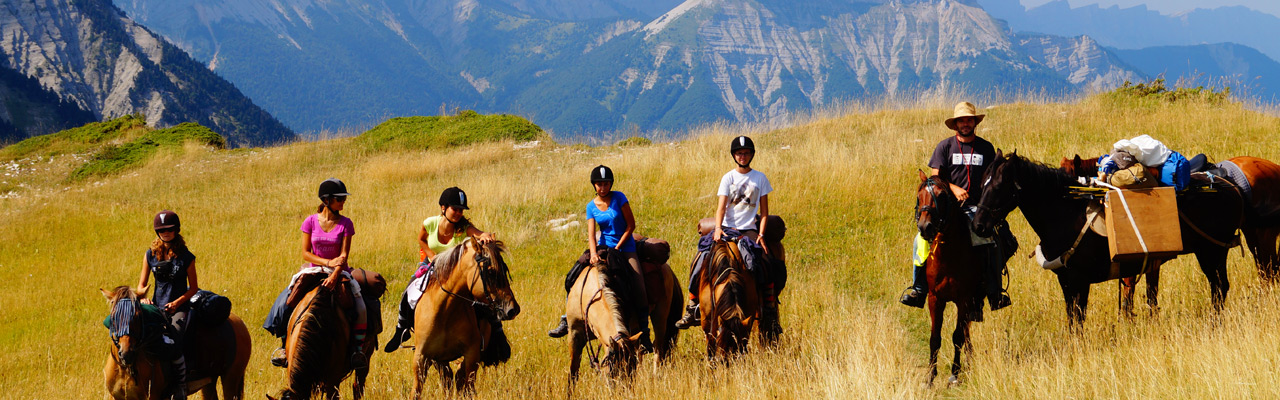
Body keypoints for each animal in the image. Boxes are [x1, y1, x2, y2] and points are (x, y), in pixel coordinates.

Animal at [101, 285, 250, 397]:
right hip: (210, 381)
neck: (125, 368)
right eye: (113, 317)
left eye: (138, 316)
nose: (127, 353)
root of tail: (239, 323)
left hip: (231, 378)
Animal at [412, 238, 517, 397]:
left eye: (505, 270)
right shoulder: (422, 357)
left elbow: (465, 382)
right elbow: (416, 391)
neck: (444, 311)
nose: (513, 309)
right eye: (490, 271)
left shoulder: (472, 354)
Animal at [568, 248, 686, 382]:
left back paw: (656, 375)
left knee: (658, 346)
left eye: (631, 369)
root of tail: (667, 268)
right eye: (612, 371)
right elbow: (573, 371)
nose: (624, 387)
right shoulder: (574, 332)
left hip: (660, 315)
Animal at [911, 170, 977, 384]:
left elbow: (957, 336)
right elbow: (935, 337)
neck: (949, 254)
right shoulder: (935, 298)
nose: (925, 226)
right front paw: (930, 377)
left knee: (965, 330)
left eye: (941, 196)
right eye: (919, 195)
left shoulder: (964, 299)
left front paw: (955, 374)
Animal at [972, 151, 1244, 326]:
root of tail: (1228, 184)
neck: (1065, 217)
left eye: (999, 186)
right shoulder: (1066, 281)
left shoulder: (1081, 281)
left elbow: (1080, 320)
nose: (979, 226)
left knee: (1219, 288)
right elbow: (1073, 320)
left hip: (1212, 251)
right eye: (983, 183)